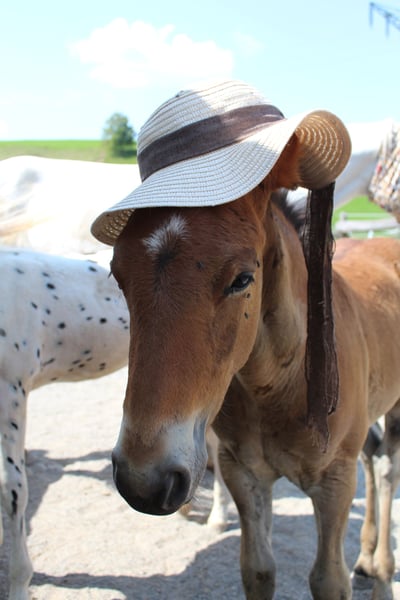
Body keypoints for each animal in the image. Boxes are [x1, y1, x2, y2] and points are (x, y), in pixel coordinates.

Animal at [108, 140, 400, 599]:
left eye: (243, 278)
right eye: (117, 275)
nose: (144, 480)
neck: (281, 385)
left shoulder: (335, 483)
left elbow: (328, 579)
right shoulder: (242, 472)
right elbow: (258, 570)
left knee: (388, 468)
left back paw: (384, 572)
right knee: (374, 459)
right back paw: (369, 559)